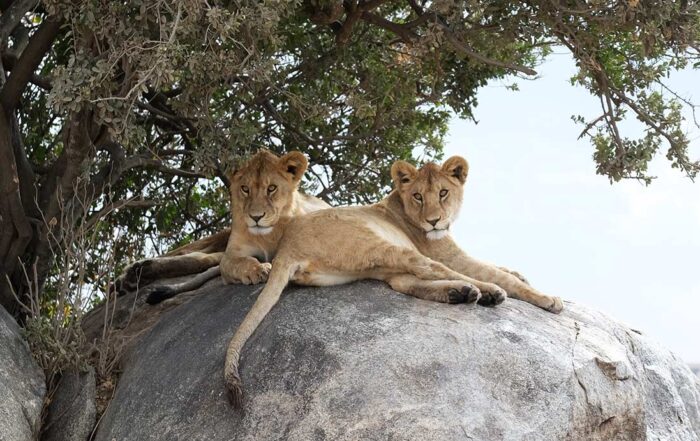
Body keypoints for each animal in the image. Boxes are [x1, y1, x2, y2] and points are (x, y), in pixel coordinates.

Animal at [114, 149, 329, 303]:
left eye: (272, 188)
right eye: (245, 189)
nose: (256, 217)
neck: (268, 236)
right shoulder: (233, 253)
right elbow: (238, 262)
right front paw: (256, 270)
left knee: (201, 258)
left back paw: (134, 276)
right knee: (188, 253)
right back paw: (130, 275)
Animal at [223, 155, 563, 407]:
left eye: (443, 192)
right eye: (418, 196)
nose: (433, 221)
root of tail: (286, 249)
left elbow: (497, 266)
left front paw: (519, 273)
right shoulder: (449, 253)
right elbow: (495, 273)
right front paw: (546, 299)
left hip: (367, 265)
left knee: (405, 282)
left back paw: (462, 293)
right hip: (381, 246)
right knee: (430, 269)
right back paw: (487, 292)